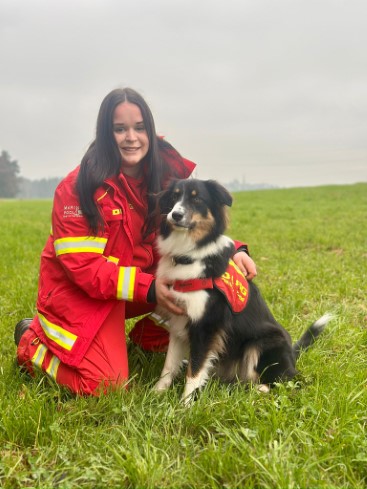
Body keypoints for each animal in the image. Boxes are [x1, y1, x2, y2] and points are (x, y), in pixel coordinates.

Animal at [154, 177, 332, 402]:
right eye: (174, 197)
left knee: (289, 380)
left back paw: (260, 389)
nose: (175, 215)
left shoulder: (206, 325)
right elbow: (169, 365)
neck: (188, 254)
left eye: (197, 199)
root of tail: (292, 355)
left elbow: (194, 370)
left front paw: (186, 403)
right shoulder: (179, 320)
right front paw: (157, 392)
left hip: (263, 343)